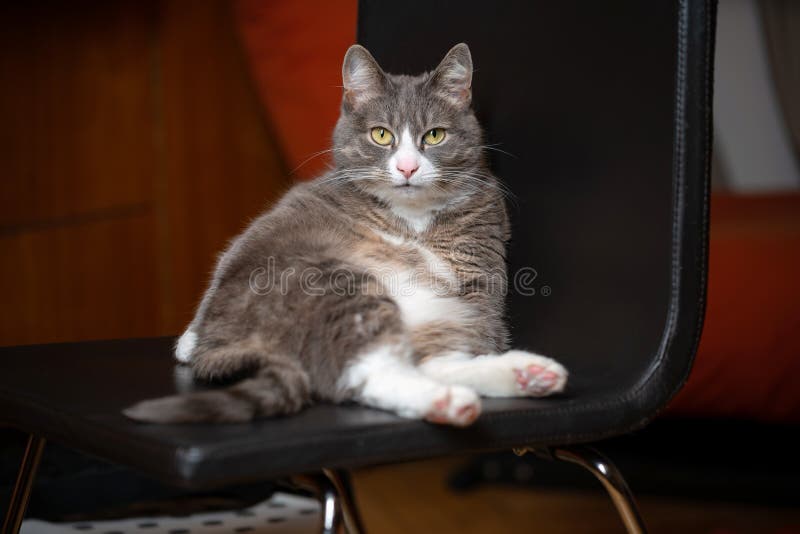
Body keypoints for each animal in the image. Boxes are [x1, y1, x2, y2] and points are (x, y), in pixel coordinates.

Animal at [122, 42, 564, 430]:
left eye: (435, 135)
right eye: (381, 135)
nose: (407, 168)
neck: (413, 219)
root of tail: (234, 346)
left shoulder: (478, 269)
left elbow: (478, 327)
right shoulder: (283, 217)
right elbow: (231, 253)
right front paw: (185, 339)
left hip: (427, 308)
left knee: (426, 359)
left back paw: (526, 374)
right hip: (337, 286)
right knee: (368, 372)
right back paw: (449, 401)